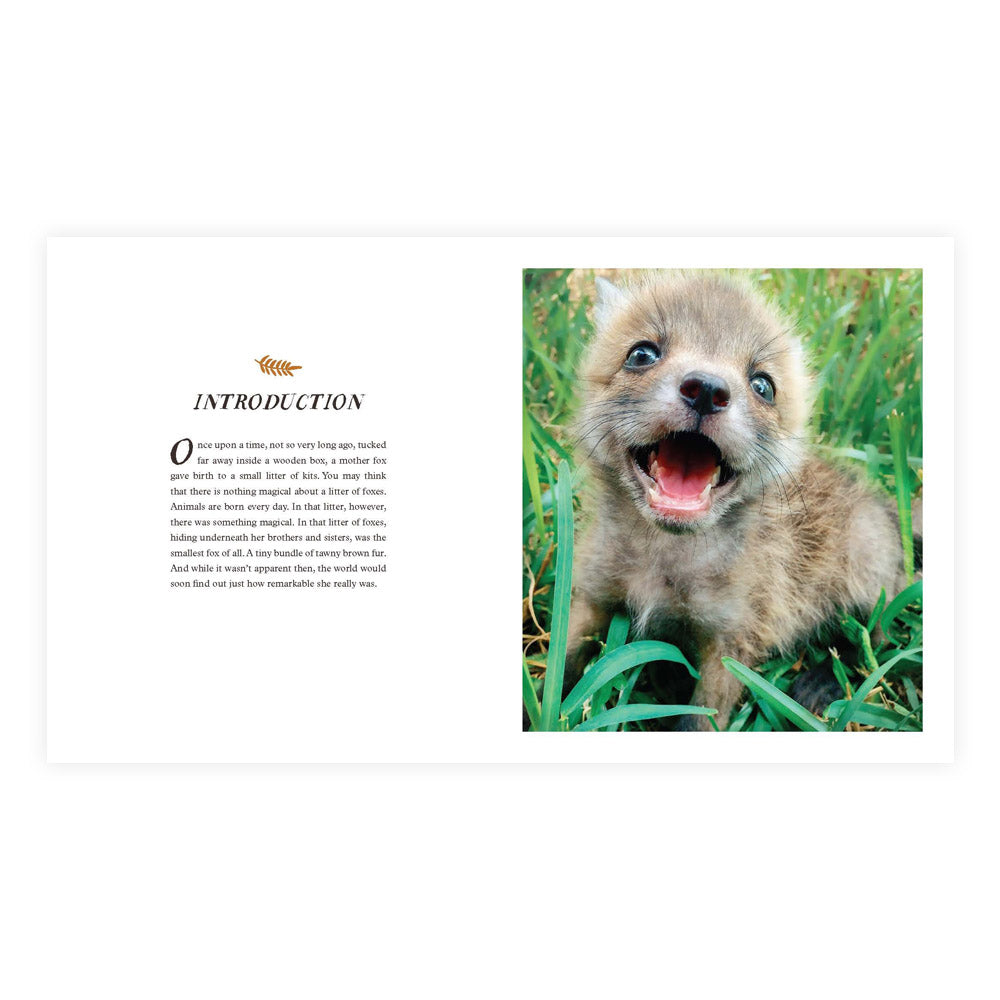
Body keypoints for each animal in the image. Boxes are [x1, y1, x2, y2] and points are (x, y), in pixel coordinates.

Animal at [566, 270, 919, 730]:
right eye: (641, 354)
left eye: (763, 386)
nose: (706, 389)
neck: (665, 556)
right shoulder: (591, 597)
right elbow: (557, 673)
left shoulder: (732, 641)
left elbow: (700, 721)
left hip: (866, 572)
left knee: (870, 642)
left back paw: (821, 682)